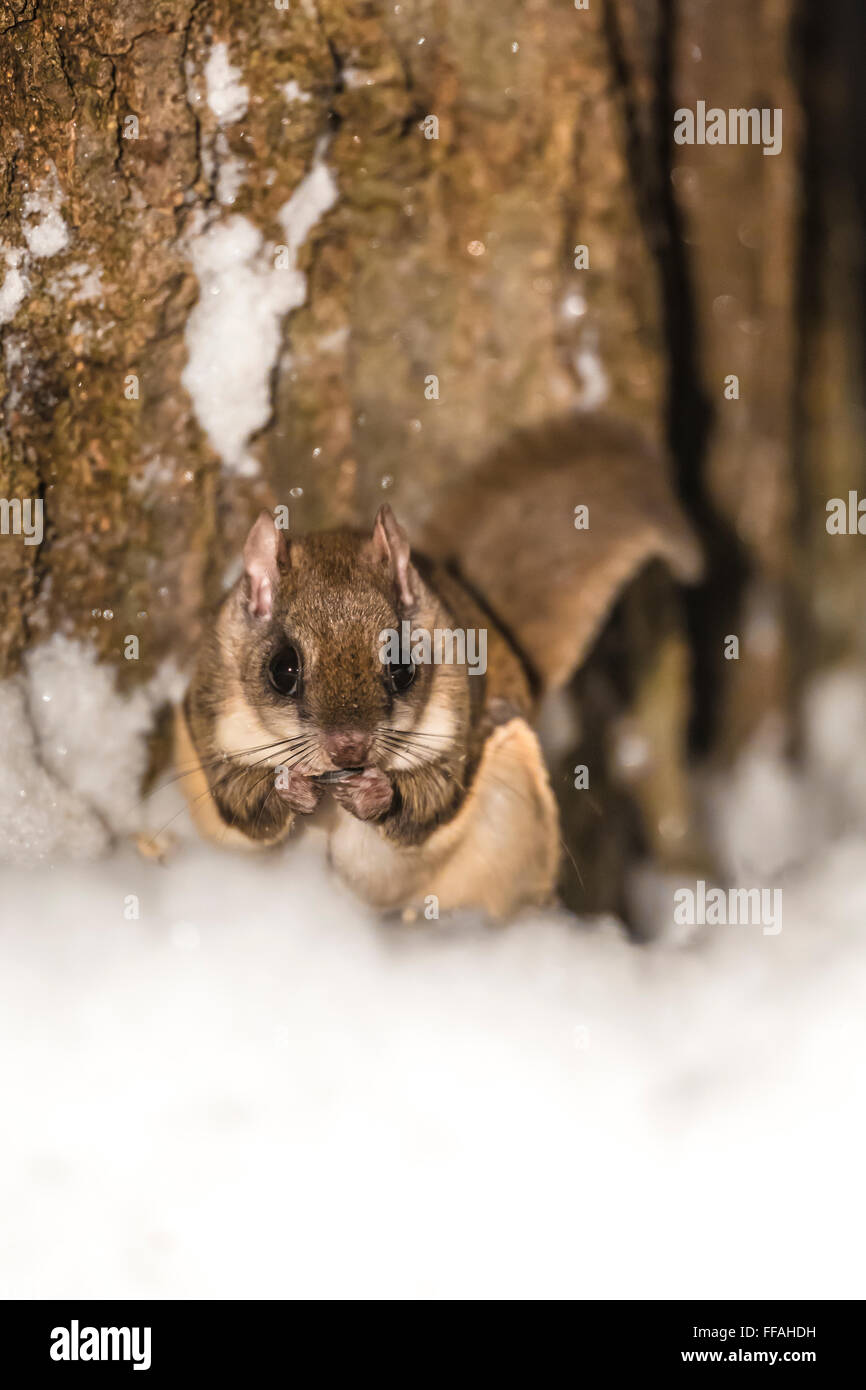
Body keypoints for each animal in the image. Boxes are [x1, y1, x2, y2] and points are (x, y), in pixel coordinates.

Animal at [179, 417, 700, 917]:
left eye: (402, 667)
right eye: (282, 670)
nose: (349, 749)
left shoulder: (463, 715)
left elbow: (433, 795)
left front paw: (377, 792)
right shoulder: (204, 706)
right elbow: (235, 792)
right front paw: (288, 787)